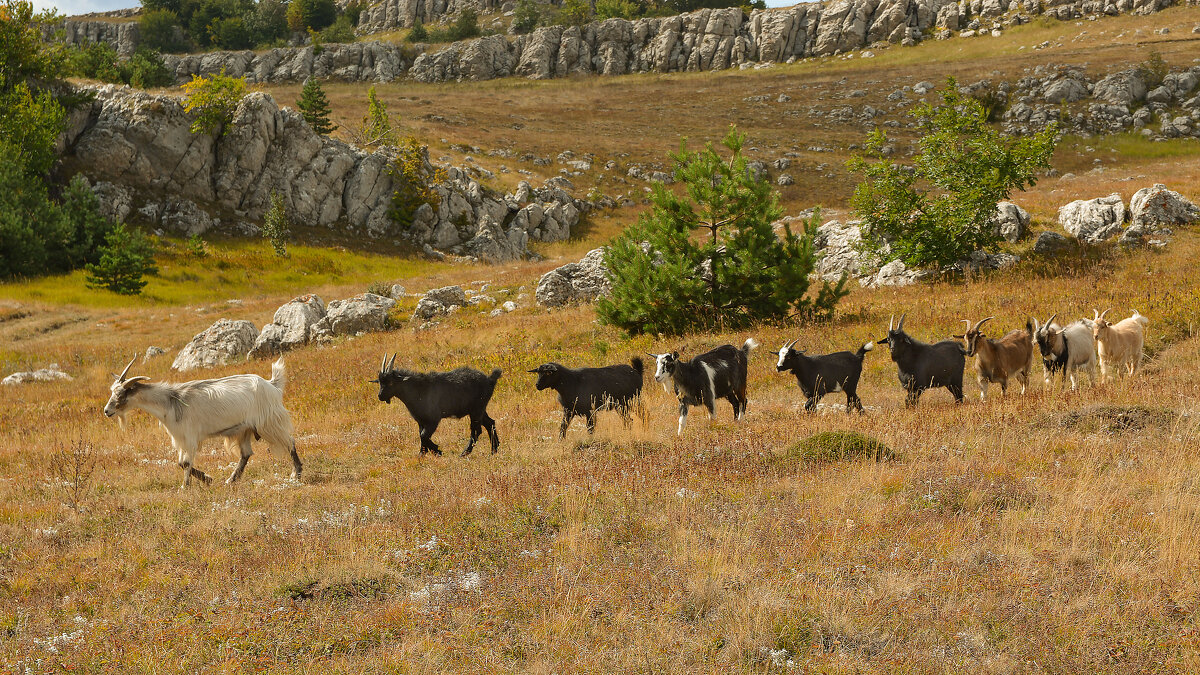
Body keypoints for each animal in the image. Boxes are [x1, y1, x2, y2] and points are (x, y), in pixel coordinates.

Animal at [102, 355, 304, 485]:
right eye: (112, 391)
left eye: (121, 394)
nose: (107, 411)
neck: (170, 401)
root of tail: (272, 385)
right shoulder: (180, 438)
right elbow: (180, 463)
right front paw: (207, 479)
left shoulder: (190, 436)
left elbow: (185, 463)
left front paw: (187, 486)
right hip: (244, 429)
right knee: (246, 454)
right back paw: (231, 480)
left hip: (269, 423)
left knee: (290, 442)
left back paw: (296, 473)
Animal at [376, 353, 504, 456]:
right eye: (380, 382)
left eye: (391, 382)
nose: (380, 396)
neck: (418, 389)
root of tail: (490, 380)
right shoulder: (421, 420)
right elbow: (421, 435)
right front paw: (422, 454)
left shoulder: (433, 419)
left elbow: (423, 435)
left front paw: (437, 451)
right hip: (480, 409)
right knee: (490, 423)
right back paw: (494, 450)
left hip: (476, 410)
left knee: (477, 430)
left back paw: (464, 453)